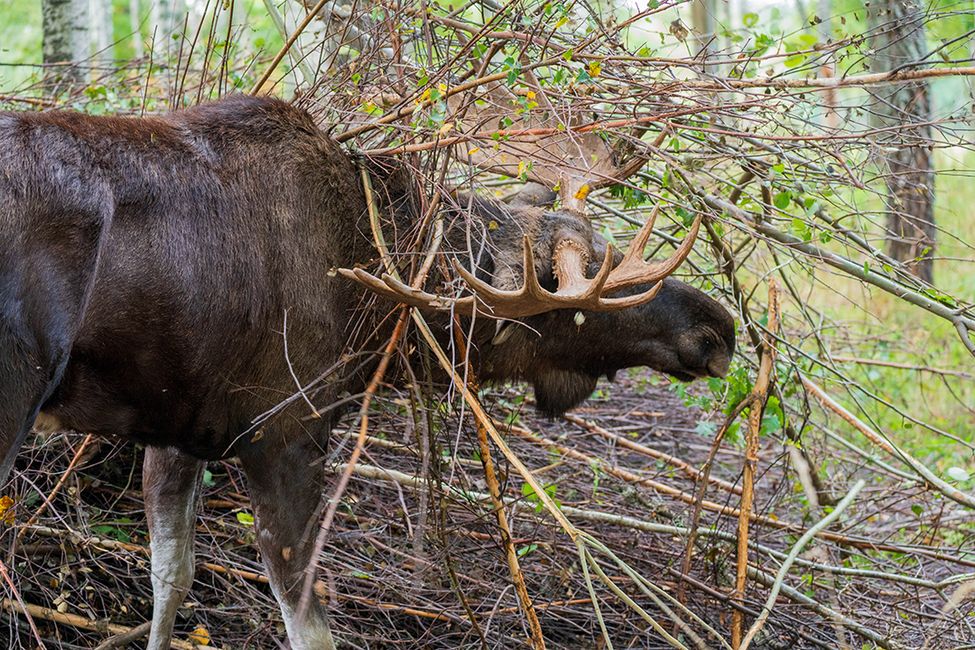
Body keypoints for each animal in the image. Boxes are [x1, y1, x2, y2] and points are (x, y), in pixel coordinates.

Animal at [0, 93, 735, 649]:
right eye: (593, 293)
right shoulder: (285, 431)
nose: (717, 328)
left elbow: (170, 577)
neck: (375, 297)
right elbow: (308, 626)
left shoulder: (178, 431)